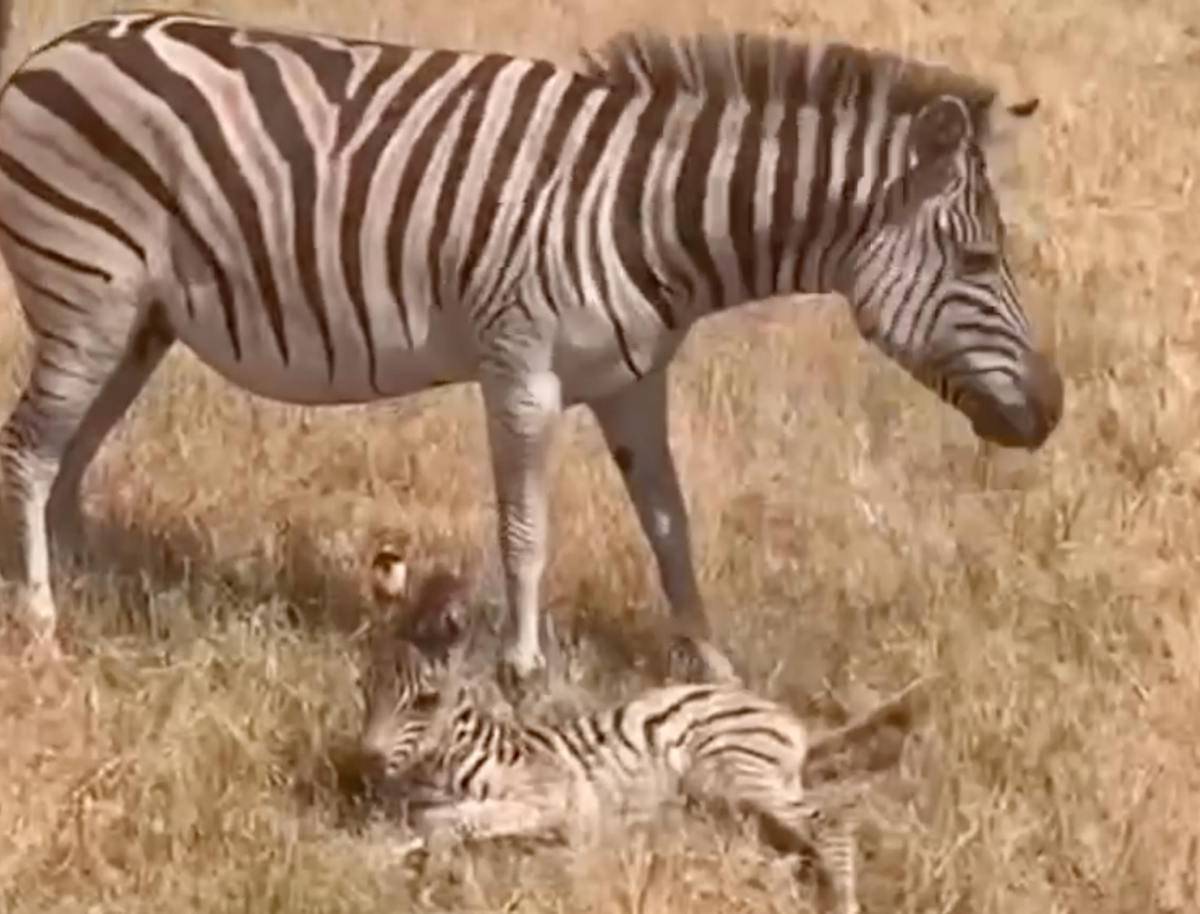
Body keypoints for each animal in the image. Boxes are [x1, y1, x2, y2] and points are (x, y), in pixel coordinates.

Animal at [0, 8, 1065, 681]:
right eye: (979, 258)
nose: (1052, 412)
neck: (647, 210)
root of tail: (52, 49)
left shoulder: (634, 382)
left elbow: (671, 527)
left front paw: (712, 665)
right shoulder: (522, 369)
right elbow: (526, 532)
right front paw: (521, 668)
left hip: (135, 324)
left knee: (68, 455)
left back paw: (85, 590)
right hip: (86, 294)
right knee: (31, 450)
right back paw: (45, 628)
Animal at [355, 544, 916, 906]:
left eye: (425, 701)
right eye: (366, 686)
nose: (368, 760)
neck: (441, 761)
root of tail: (783, 716)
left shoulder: (552, 790)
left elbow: (450, 822)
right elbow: (420, 828)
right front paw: (392, 861)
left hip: (730, 769)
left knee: (830, 822)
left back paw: (840, 900)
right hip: (724, 793)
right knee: (791, 836)